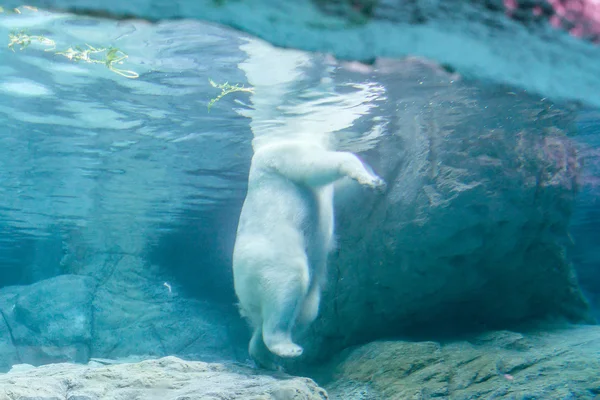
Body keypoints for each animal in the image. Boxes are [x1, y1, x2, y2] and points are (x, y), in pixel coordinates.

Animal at [230, 139, 384, 368]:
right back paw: (286, 348)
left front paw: (377, 181)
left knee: (304, 312)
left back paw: (265, 357)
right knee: (287, 285)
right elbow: (313, 167)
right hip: (265, 258)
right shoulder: (281, 154)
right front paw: (368, 178)